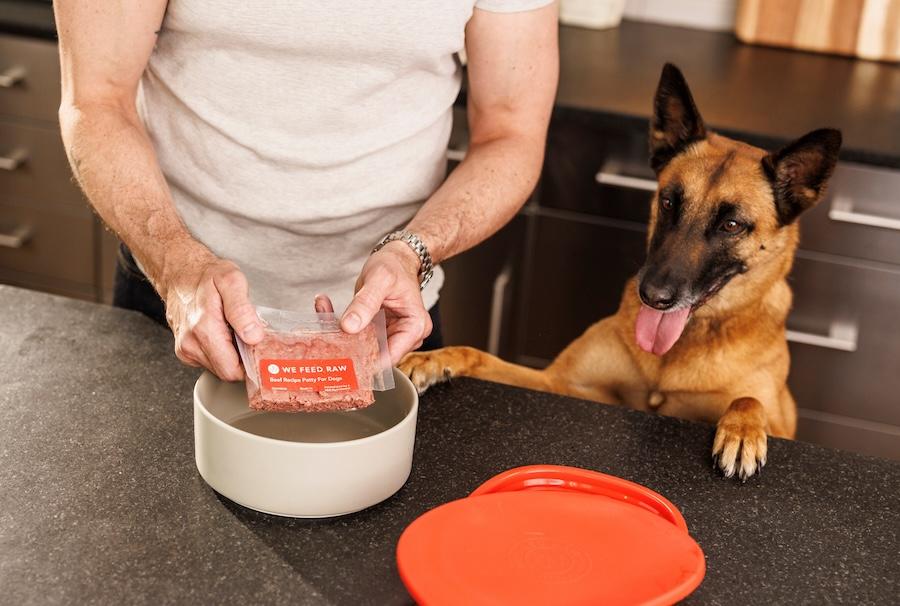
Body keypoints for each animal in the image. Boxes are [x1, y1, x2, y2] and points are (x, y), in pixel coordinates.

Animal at [400, 64, 844, 482]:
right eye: (668, 202)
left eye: (732, 225)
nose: (653, 295)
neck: (673, 355)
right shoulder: (559, 385)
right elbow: (479, 355)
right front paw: (435, 358)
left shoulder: (778, 417)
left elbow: (749, 399)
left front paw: (743, 432)